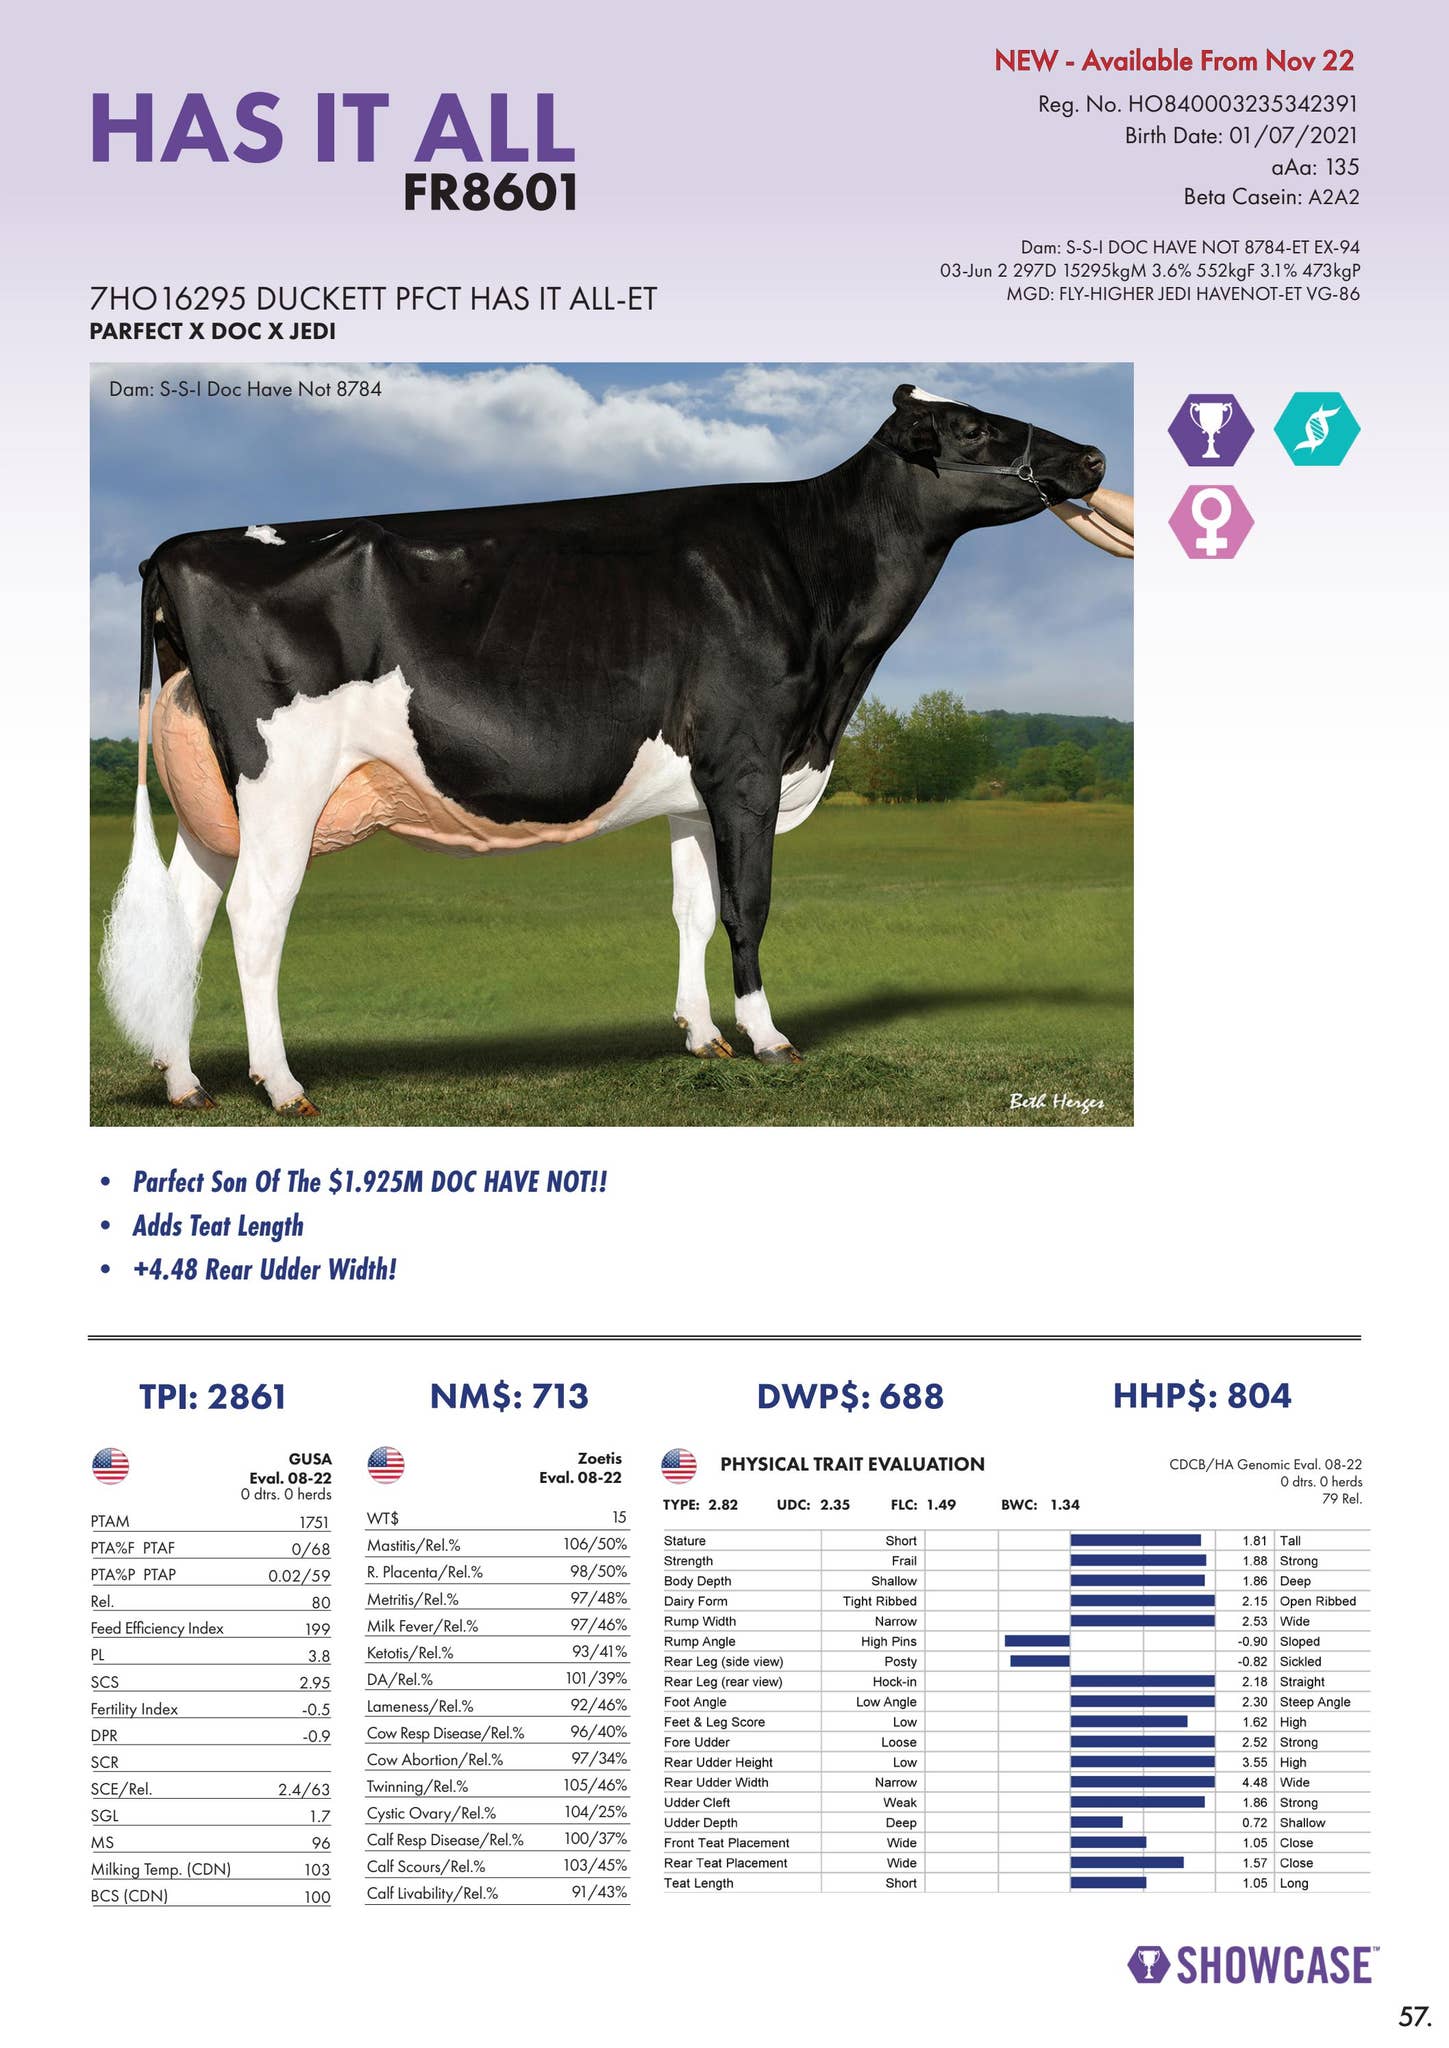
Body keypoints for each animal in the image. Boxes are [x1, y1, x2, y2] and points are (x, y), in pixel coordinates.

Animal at [100, 383, 1132, 1115]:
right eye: (973, 429)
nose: (1090, 456)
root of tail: (180, 545)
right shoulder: (747, 763)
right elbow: (748, 906)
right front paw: (766, 1038)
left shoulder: (692, 789)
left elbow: (692, 909)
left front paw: (700, 1034)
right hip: (283, 784)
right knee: (255, 918)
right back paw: (280, 1085)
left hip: (213, 801)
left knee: (188, 917)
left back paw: (185, 1082)